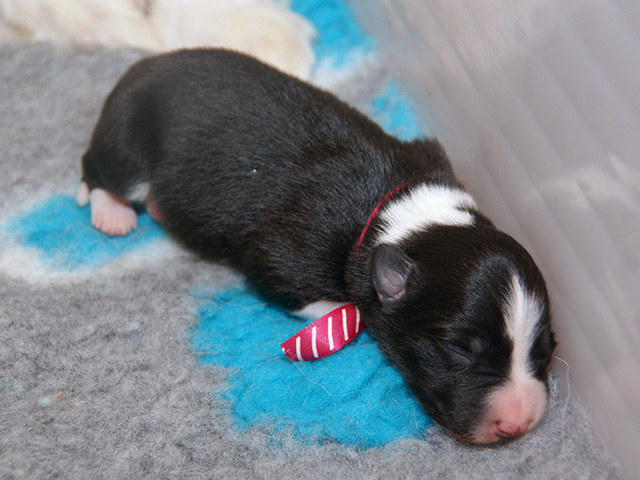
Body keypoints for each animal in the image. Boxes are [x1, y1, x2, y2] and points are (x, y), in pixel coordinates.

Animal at [77, 49, 556, 444]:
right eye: (458, 349)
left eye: (547, 347)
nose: (518, 425)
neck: (399, 208)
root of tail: (142, 66)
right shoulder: (284, 252)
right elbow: (295, 285)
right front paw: (344, 312)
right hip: (128, 140)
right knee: (98, 169)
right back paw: (112, 213)